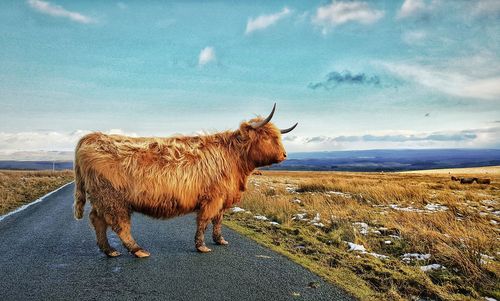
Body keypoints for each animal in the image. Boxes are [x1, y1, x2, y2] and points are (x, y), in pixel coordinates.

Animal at [73, 104, 296, 256]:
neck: (234, 158)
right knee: (119, 224)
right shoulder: (212, 198)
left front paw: (220, 240)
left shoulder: (222, 198)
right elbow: (204, 221)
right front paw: (201, 246)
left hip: (102, 199)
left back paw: (109, 250)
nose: (284, 155)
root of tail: (92, 137)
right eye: (266, 137)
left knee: (97, 220)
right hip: (113, 198)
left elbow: (218, 220)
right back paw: (137, 250)